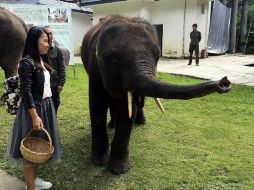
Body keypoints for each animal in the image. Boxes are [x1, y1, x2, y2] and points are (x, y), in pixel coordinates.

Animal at [81, 15, 230, 175]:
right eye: (114, 59)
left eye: (158, 55)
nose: (224, 83)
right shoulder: (94, 68)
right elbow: (97, 106)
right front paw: (98, 162)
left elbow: (127, 112)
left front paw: (119, 170)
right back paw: (111, 126)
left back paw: (140, 122)